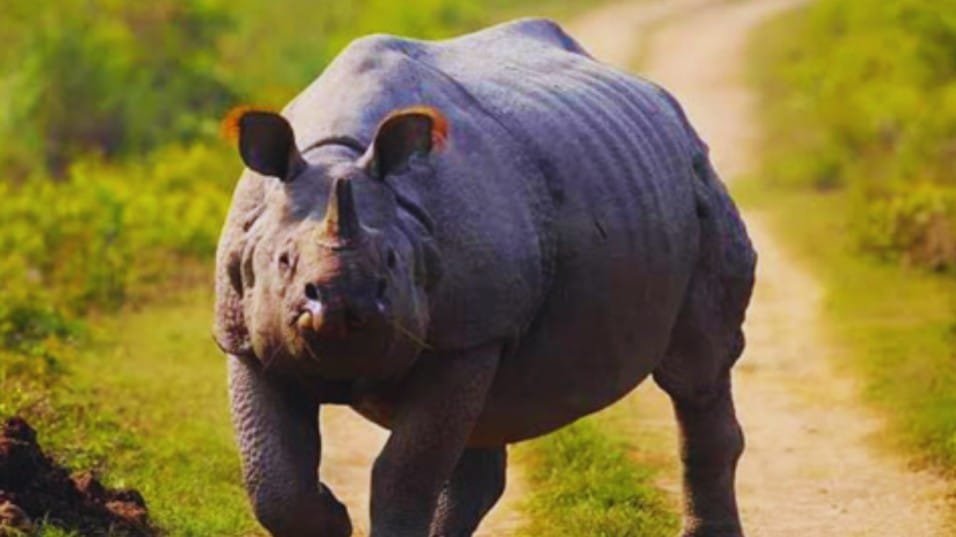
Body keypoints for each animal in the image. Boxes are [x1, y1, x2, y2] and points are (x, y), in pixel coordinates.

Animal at [214, 18, 756, 537]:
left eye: (391, 261)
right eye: (283, 261)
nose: (344, 307)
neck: (337, 154)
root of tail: (665, 105)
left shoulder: (469, 334)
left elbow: (404, 473)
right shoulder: (244, 336)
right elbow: (274, 480)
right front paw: (331, 517)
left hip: (696, 180)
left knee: (695, 373)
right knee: (482, 427)